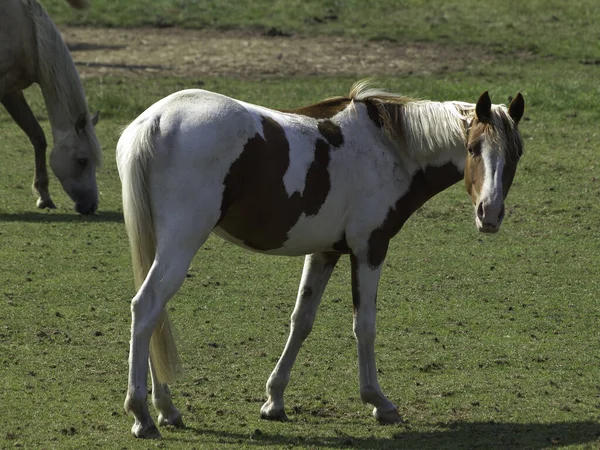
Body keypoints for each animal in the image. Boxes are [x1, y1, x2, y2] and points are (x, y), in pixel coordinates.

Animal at [117, 80, 524, 436]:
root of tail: (155, 120)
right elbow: (365, 326)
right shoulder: (370, 248)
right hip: (181, 243)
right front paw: (379, 402)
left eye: (516, 154)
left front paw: (274, 401)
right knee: (147, 307)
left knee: (154, 316)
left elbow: (302, 320)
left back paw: (167, 409)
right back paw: (142, 414)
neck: (388, 148)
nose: (490, 214)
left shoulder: (324, 252)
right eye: (473, 149)